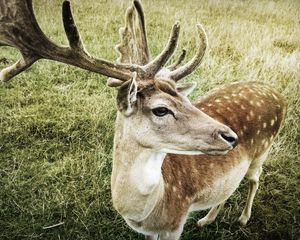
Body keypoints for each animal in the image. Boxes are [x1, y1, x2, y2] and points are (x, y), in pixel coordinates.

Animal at [0, 0, 288, 240]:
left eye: (186, 100)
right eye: (161, 109)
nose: (231, 136)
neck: (148, 209)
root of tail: (278, 94)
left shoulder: (176, 222)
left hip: (263, 150)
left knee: (254, 179)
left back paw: (243, 219)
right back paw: (206, 220)